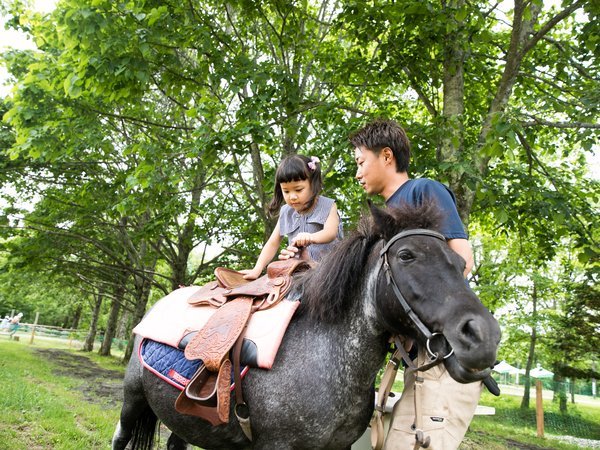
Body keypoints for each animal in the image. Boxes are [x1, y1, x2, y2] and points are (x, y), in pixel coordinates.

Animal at [112, 202, 502, 448]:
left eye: (458, 262)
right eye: (406, 255)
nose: (483, 336)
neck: (328, 358)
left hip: (187, 418)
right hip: (132, 399)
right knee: (121, 437)